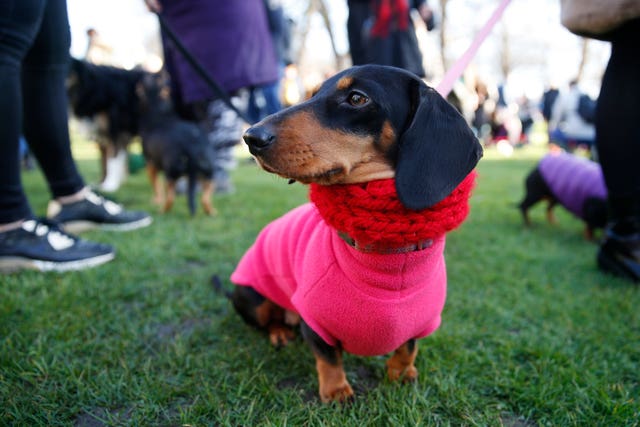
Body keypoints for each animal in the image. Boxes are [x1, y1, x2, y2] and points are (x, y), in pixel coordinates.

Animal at [136, 72, 216, 217]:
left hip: (171, 174)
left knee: (170, 197)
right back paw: (211, 212)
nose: (158, 72)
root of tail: (192, 146)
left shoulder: (150, 163)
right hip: (209, 173)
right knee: (205, 198)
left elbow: (156, 185)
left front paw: (156, 200)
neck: (158, 111)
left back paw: (162, 211)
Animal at [228, 65, 482, 402]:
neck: (388, 257)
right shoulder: (314, 318)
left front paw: (401, 373)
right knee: (266, 319)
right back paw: (280, 332)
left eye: (357, 98)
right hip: (255, 298)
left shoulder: (422, 321)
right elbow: (328, 356)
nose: (251, 137)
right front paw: (336, 391)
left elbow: (408, 347)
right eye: (313, 93)